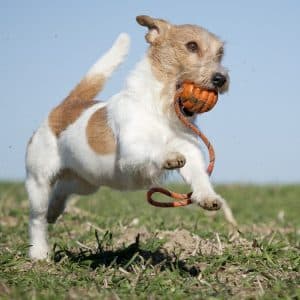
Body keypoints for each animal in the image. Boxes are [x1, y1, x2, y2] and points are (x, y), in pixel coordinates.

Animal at [25, 14, 237, 260]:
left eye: (220, 53)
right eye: (192, 46)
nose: (220, 78)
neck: (161, 108)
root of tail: (67, 105)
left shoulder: (190, 150)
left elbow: (199, 175)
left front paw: (207, 197)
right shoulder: (130, 152)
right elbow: (154, 149)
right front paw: (169, 156)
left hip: (87, 180)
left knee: (62, 190)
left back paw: (54, 210)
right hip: (39, 179)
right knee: (36, 219)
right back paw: (39, 252)